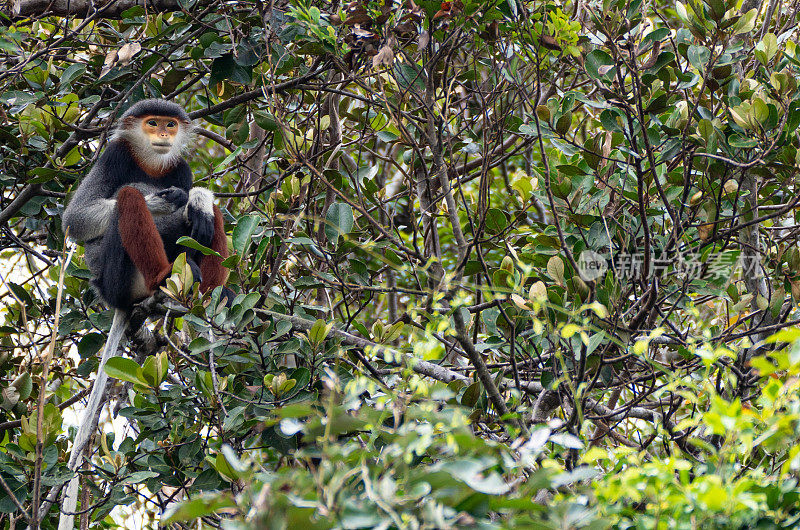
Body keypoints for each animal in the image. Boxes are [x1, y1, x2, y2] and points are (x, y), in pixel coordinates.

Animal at [57, 100, 228, 528]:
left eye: (169, 125)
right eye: (152, 124)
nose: (163, 134)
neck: (152, 166)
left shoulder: (178, 166)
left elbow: (196, 197)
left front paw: (197, 197)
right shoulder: (114, 156)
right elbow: (76, 220)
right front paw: (164, 199)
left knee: (203, 224)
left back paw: (213, 294)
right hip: (117, 279)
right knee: (128, 198)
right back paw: (163, 278)